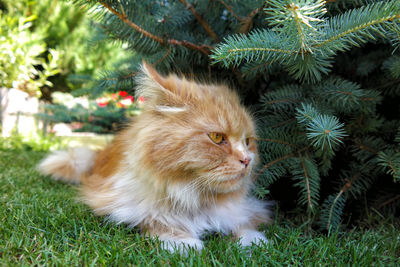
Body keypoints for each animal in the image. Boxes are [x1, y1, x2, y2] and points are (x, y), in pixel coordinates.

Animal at [38, 62, 268, 253]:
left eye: (248, 141)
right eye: (217, 137)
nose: (247, 160)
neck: (194, 199)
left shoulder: (246, 209)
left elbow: (243, 226)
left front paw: (253, 242)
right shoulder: (120, 203)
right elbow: (159, 221)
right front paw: (182, 243)